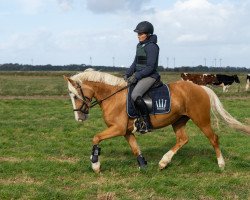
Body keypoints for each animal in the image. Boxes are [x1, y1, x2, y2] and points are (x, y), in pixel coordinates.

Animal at [64, 68, 250, 172]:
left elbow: (96, 138)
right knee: (183, 139)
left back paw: (221, 164)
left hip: (201, 120)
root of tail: (201, 87)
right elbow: (135, 149)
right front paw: (143, 166)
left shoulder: (117, 128)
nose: (79, 117)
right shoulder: (126, 131)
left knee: (214, 138)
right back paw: (163, 162)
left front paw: (95, 165)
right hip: (178, 121)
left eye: (75, 95)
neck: (113, 96)